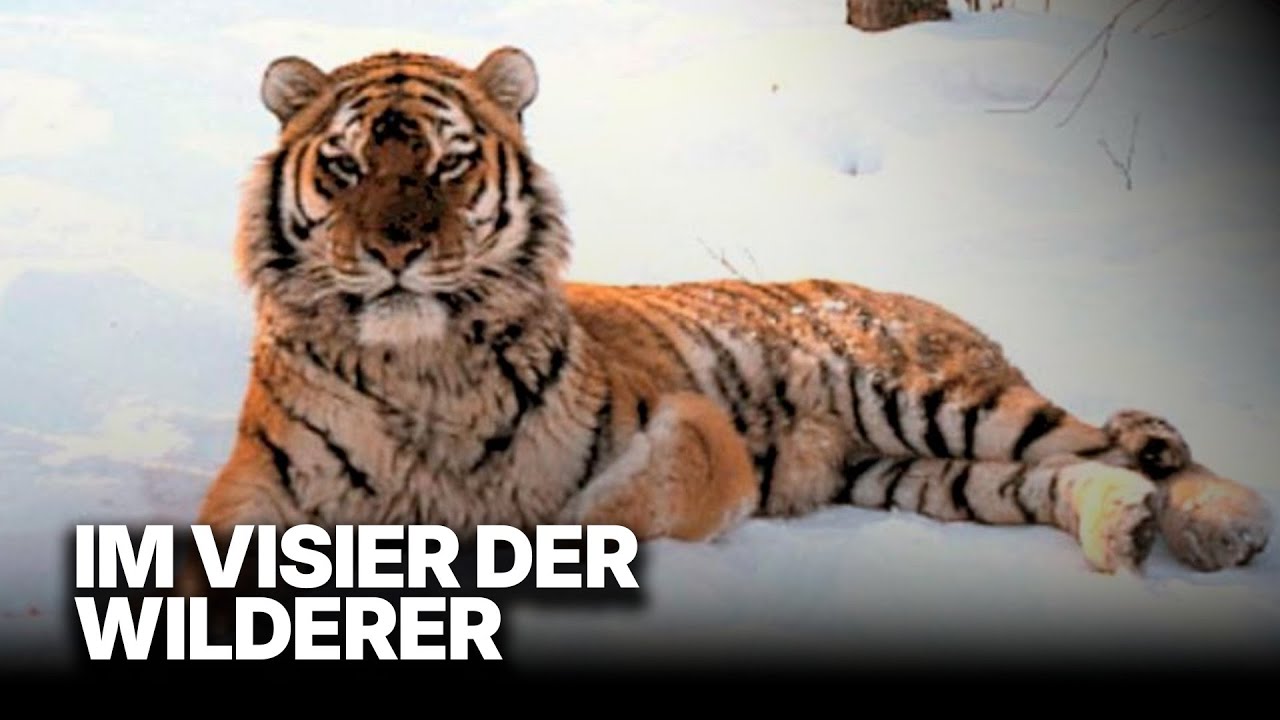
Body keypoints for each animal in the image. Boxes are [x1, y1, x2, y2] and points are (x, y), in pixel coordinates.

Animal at [195, 45, 1272, 577]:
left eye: (449, 162)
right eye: (346, 166)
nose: (395, 252)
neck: (423, 367)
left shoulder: (687, 429)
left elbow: (611, 512)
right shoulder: (262, 488)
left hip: (933, 399)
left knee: (1123, 444)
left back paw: (1222, 530)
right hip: (914, 475)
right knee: (1059, 476)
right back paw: (1121, 529)